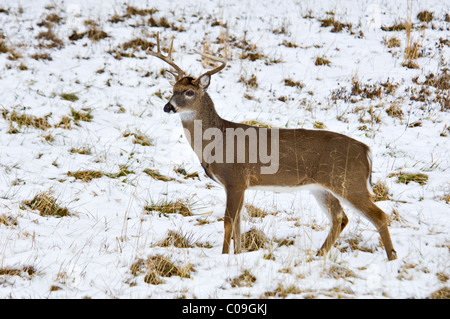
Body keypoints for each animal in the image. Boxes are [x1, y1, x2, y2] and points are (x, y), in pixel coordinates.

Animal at [148, 33, 398, 262]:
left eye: (189, 92)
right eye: (173, 88)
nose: (167, 107)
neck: (218, 139)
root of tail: (366, 151)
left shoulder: (236, 178)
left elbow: (229, 221)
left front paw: (224, 257)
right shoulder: (241, 185)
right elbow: (238, 223)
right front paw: (238, 256)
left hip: (350, 181)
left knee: (379, 215)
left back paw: (392, 258)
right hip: (323, 187)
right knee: (340, 218)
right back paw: (318, 256)